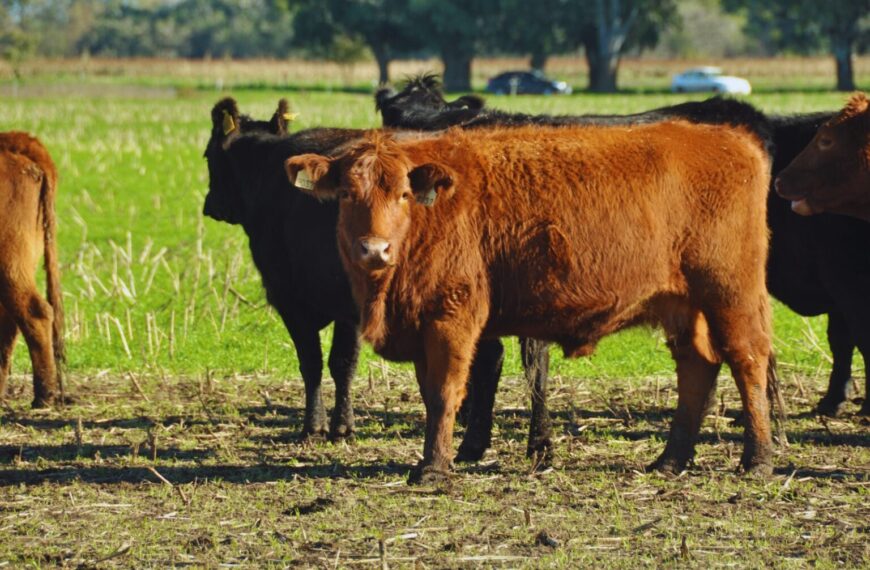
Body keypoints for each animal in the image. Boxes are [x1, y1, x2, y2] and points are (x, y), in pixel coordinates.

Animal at [288, 123, 776, 480]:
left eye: (403, 194)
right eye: (347, 193)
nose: (374, 249)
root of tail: (730, 138)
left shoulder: (452, 316)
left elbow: (445, 392)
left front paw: (434, 468)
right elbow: (430, 395)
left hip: (730, 293)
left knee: (747, 359)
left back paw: (757, 459)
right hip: (684, 305)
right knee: (697, 366)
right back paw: (670, 461)